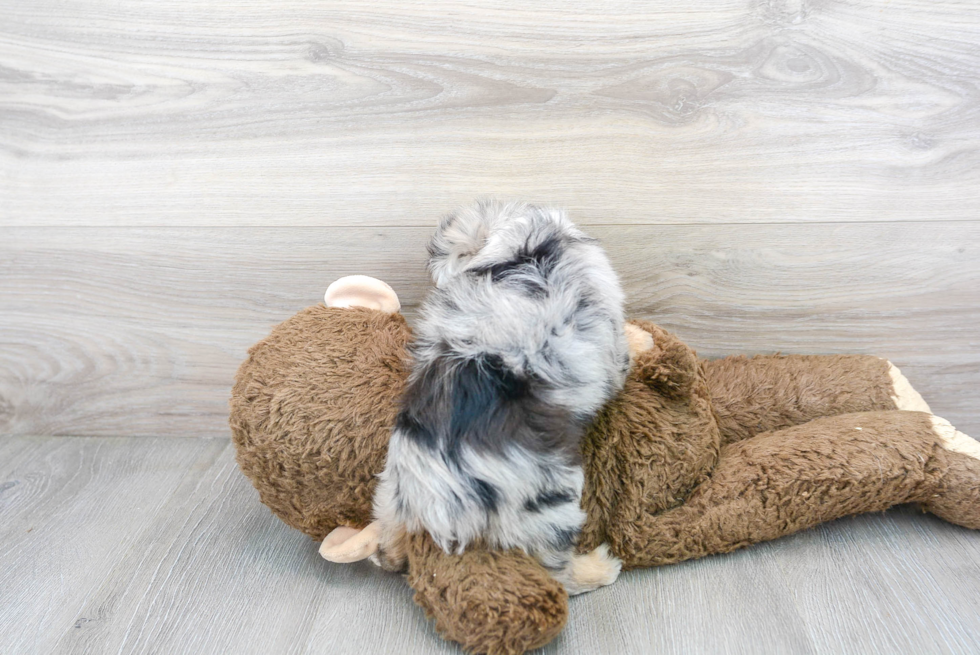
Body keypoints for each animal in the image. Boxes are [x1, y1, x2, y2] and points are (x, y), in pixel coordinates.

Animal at [372, 200, 632, 596]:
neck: (518, 247)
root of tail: (439, 492)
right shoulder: (612, 341)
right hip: (547, 509)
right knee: (556, 574)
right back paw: (598, 567)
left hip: (393, 490)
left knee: (391, 535)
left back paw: (391, 552)